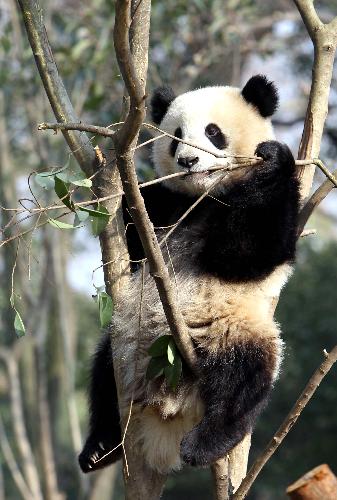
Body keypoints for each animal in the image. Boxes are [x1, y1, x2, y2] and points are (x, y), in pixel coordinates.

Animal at [79, 74, 300, 472]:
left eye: (213, 132)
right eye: (176, 135)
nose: (188, 160)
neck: (204, 196)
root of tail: (173, 404)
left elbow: (249, 252)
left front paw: (274, 160)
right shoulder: (168, 204)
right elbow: (137, 234)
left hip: (236, 327)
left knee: (243, 378)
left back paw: (205, 443)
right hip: (127, 339)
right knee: (103, 376)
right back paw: (100, 448)